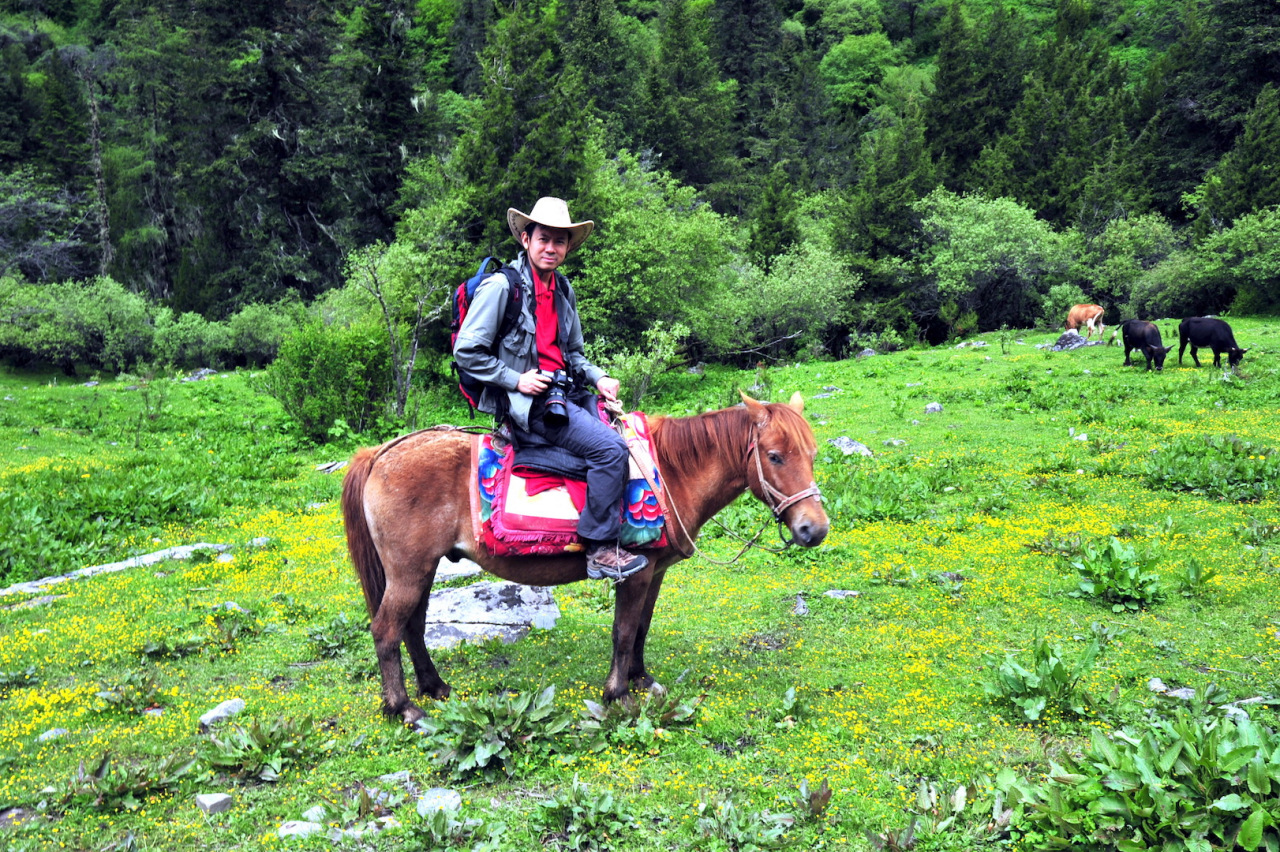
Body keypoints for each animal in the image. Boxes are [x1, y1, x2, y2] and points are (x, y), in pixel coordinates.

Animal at [340, 388, 824, 716]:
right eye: (775, 456)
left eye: (813, 454)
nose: (814, 528)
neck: (667, 473)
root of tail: (380, 453)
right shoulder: (636, 571)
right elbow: (623, 631)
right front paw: (618, 694)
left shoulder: (656, 572)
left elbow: (642, 627)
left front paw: (641, 679)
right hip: (408, 571)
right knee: (386, 629)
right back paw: (403, 707)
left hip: (422, 570)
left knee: (413, 626)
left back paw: (434, 687)